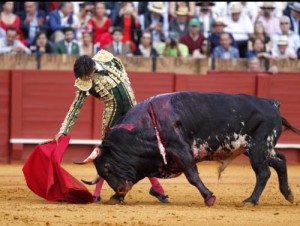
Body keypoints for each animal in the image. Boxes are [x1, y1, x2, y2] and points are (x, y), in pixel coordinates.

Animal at [91, 91, 300, 207]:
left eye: (107, 168)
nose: (120, 189)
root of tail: (272, 104)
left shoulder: (181, 150)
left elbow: (192, 176)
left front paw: (209, 198)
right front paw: (115, 198)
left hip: (258, 148)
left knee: (263, 172)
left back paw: (250, 200)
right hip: (259, 150)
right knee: (280, 162)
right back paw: (288, 195)